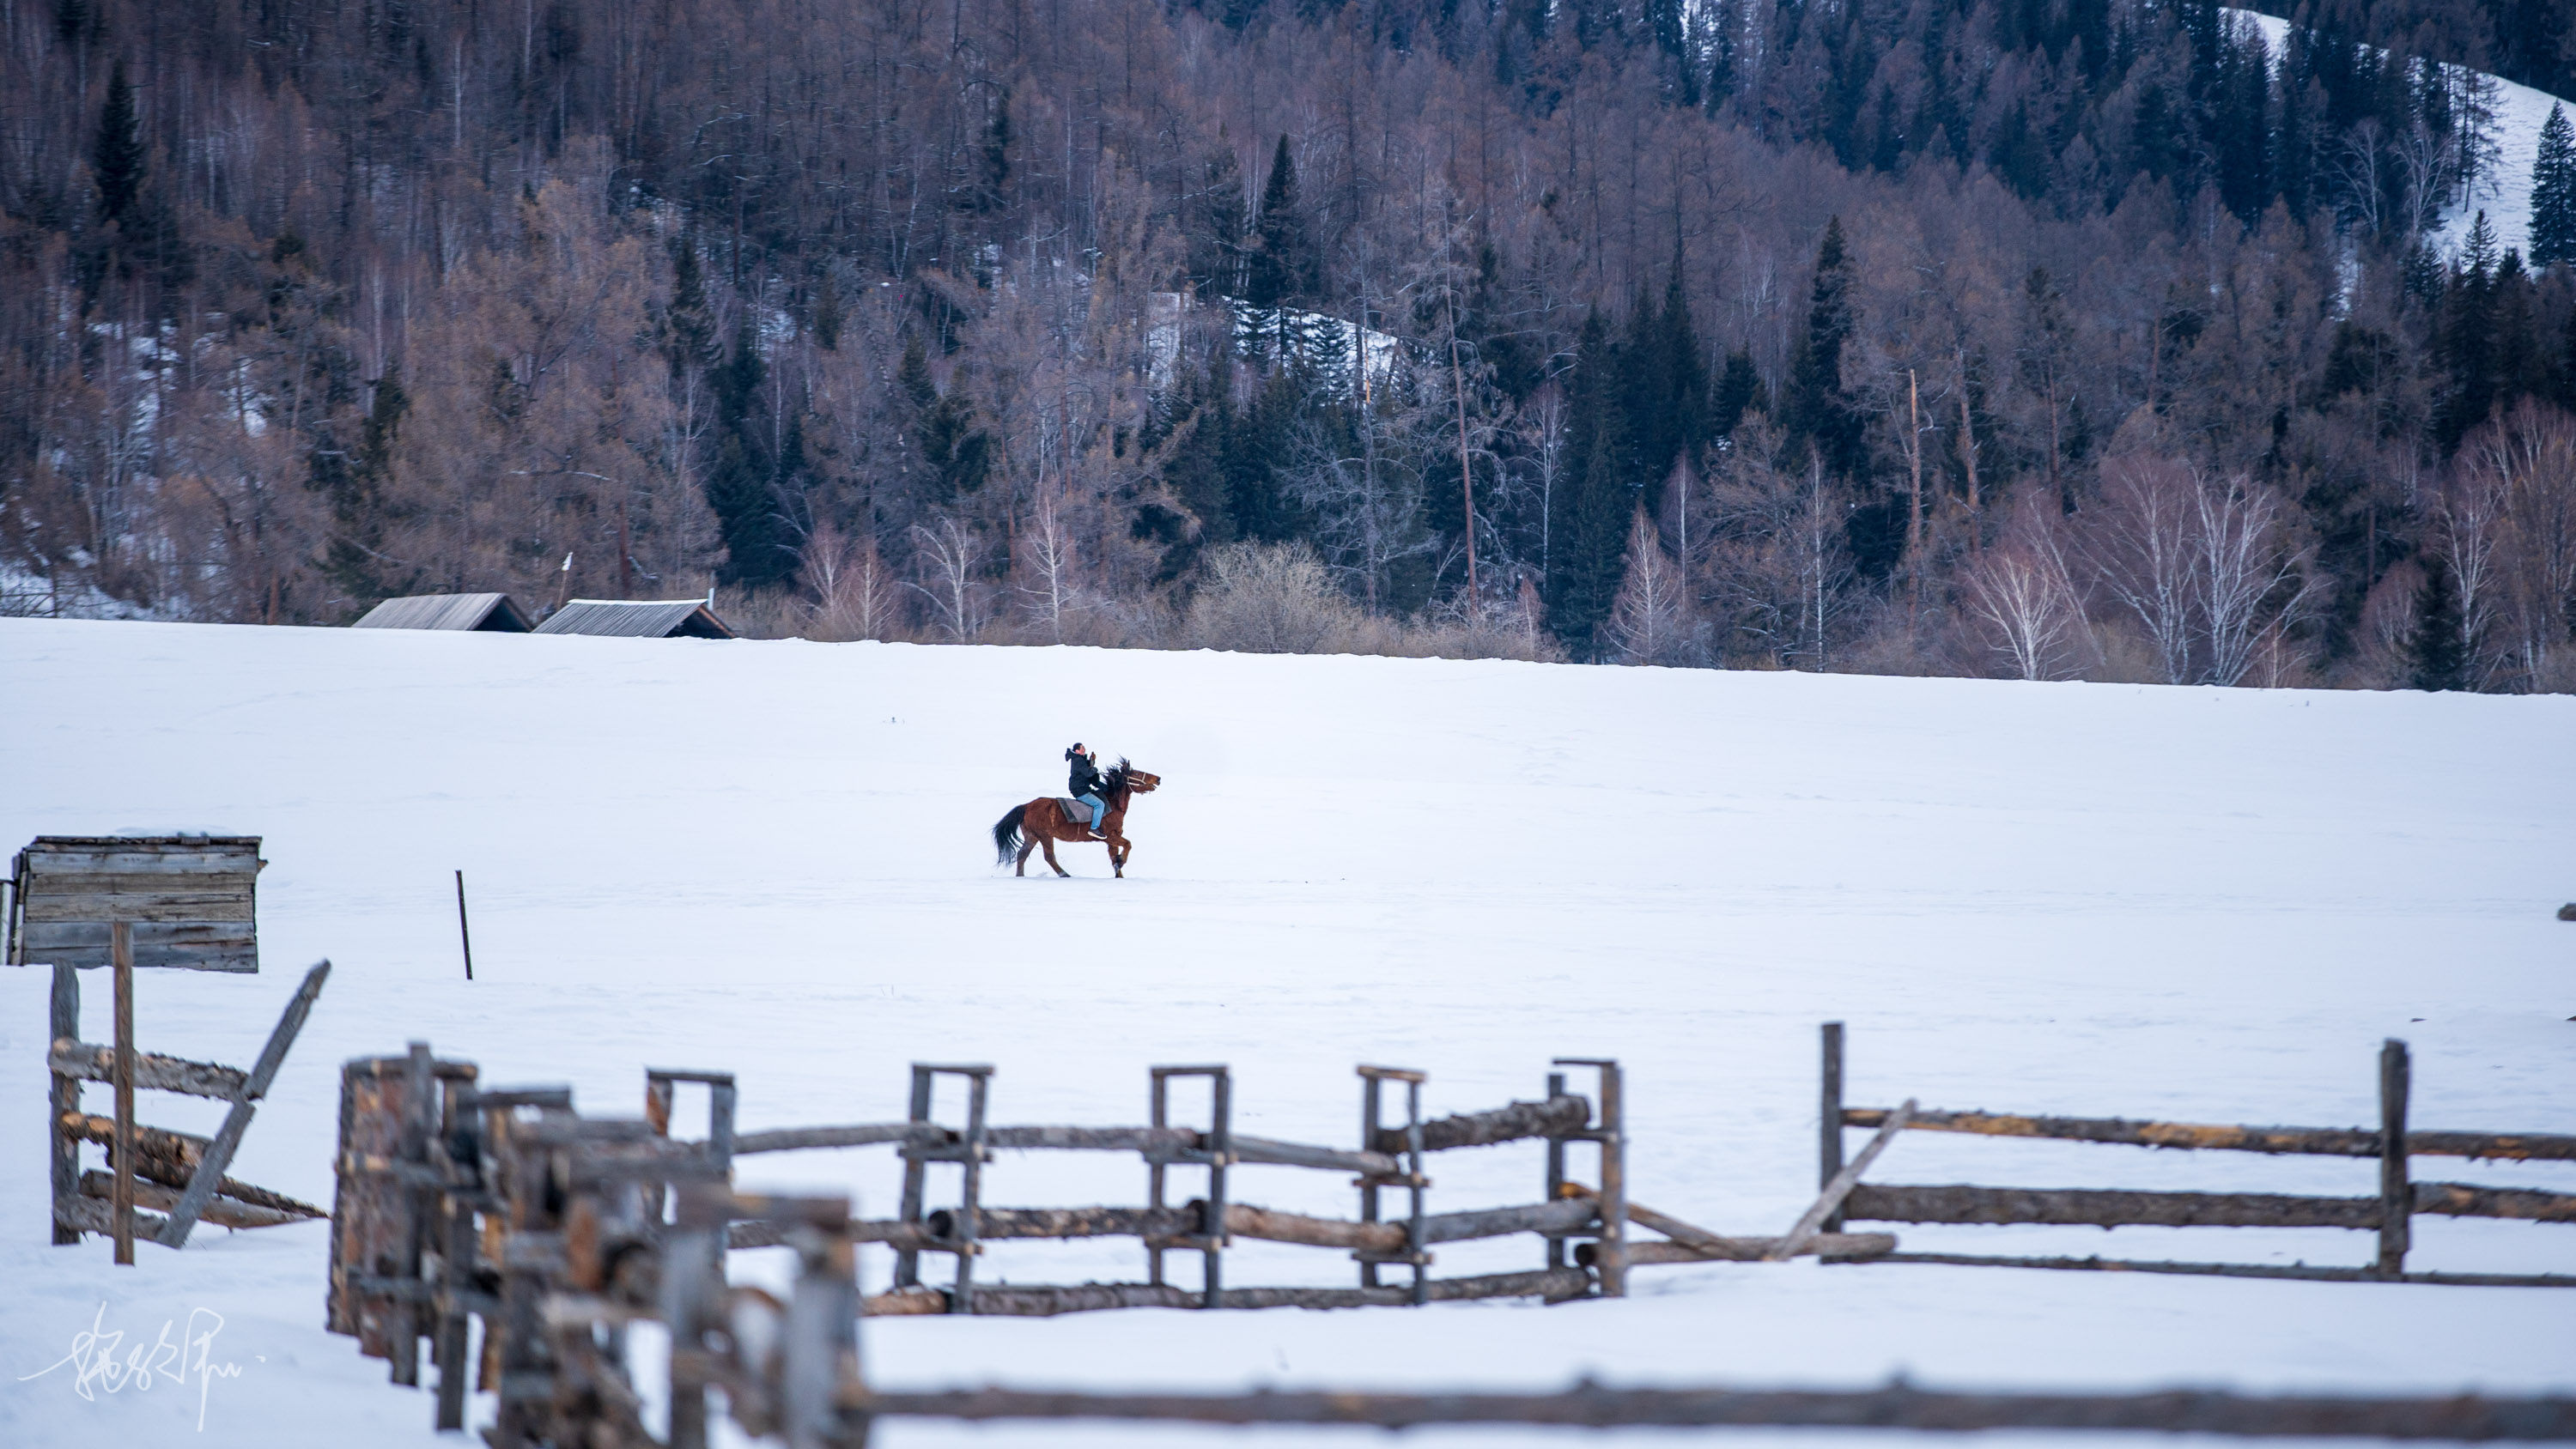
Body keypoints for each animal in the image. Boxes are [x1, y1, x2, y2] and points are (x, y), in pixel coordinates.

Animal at [989, 767, 1164, 880]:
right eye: (1136, 773)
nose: (1158, 778)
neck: (1112, 804)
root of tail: (1026, 806)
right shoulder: (1109, 836)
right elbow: (1128, 845)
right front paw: (1122, 862)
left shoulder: (1112, 840)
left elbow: (1114, 858)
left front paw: (1119, 873)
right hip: (1045, 836)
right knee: (1049, 856)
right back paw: (1065, 874)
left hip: (1032, 836)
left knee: (1022, 855)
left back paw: (1021, 877)